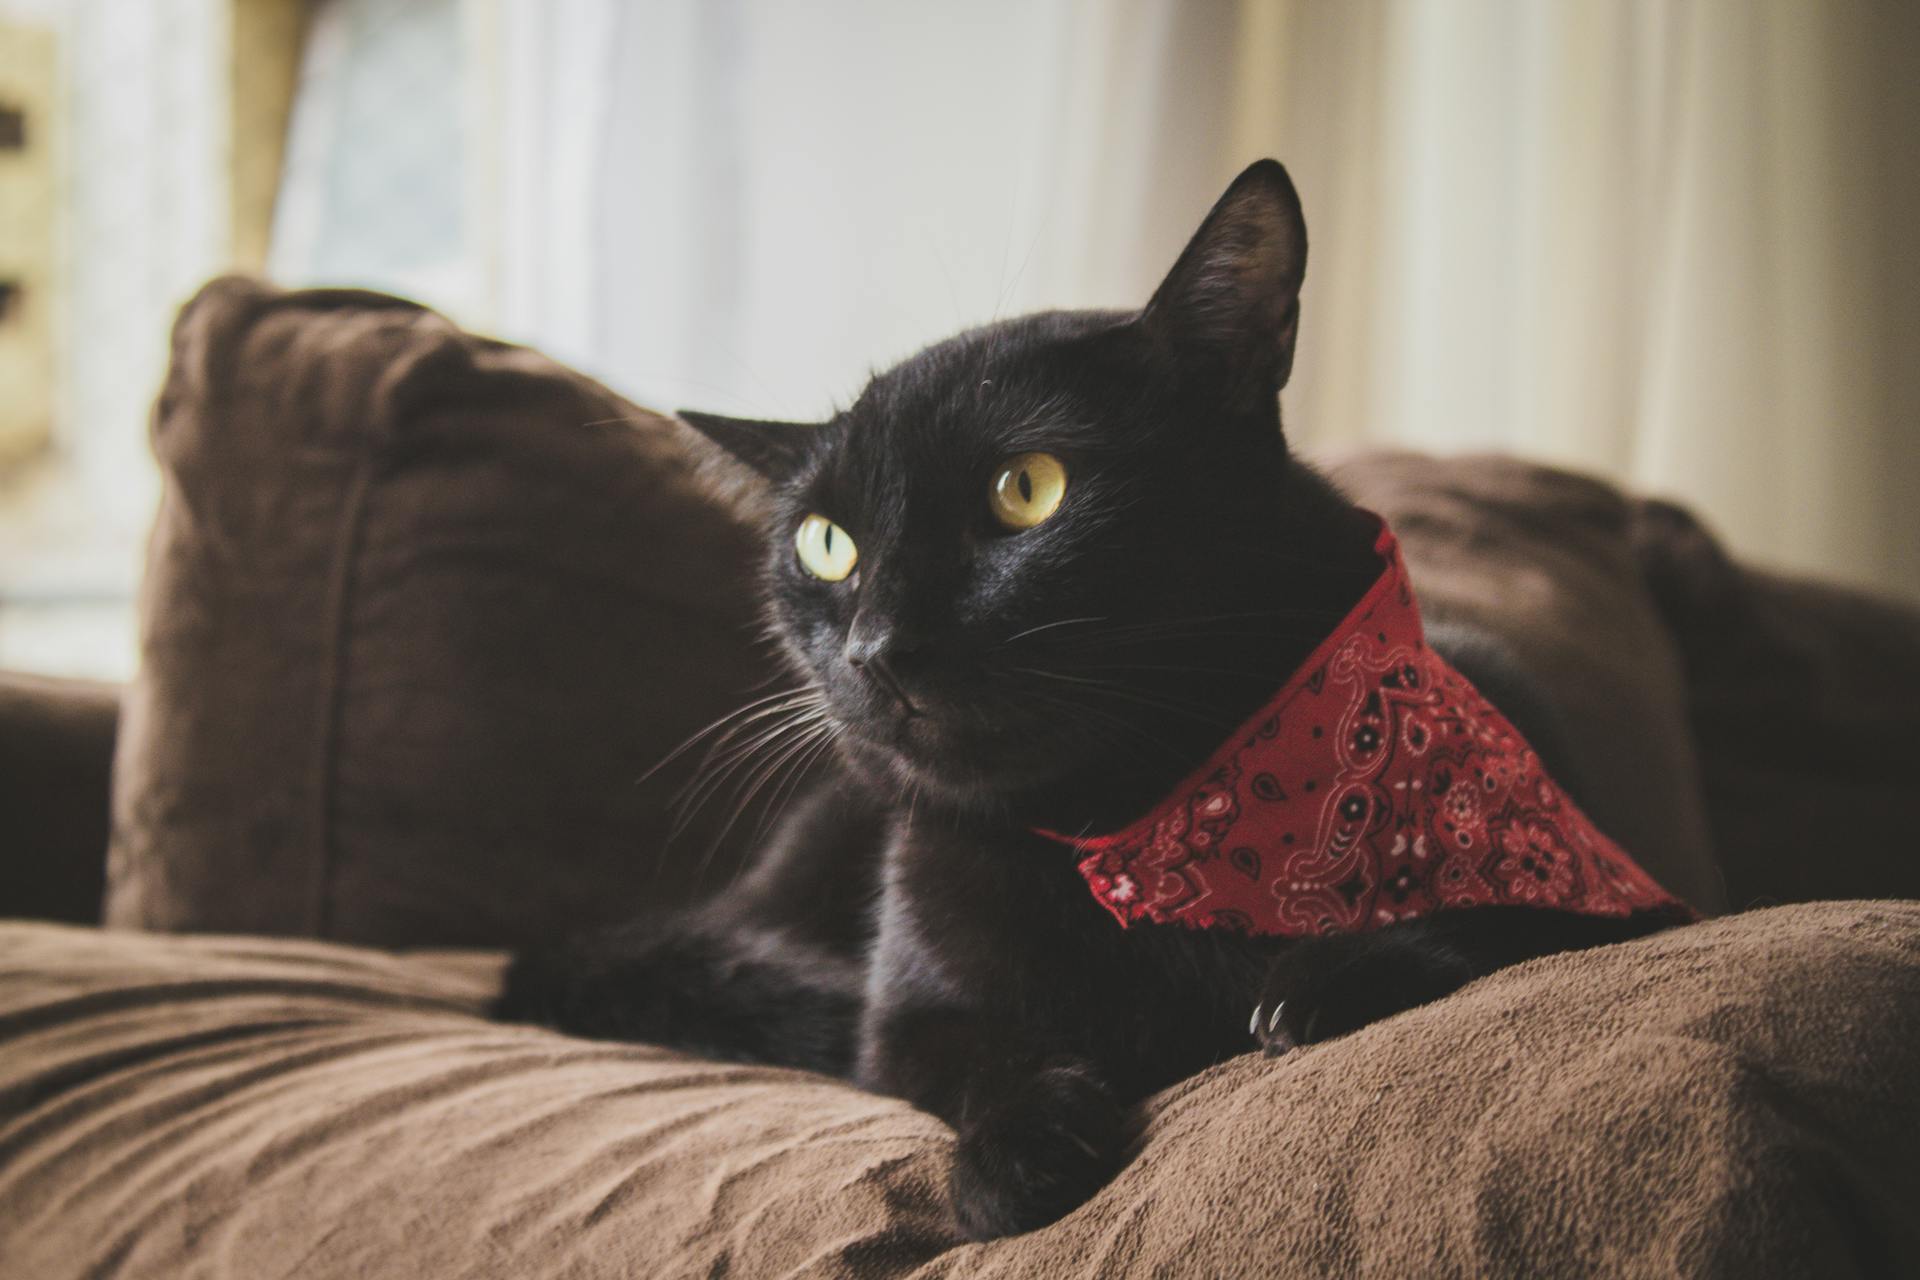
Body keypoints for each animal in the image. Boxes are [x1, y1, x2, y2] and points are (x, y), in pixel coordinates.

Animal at [503, 157, 1689, 1243]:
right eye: (826, 544)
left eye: (1027, 490)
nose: (876, 646)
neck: (1141, 827)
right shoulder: (905, 1011)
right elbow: (971, 1052)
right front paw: (1018, 1152)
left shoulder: (1626, 883)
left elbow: (1512, 918)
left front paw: (1325, 977)